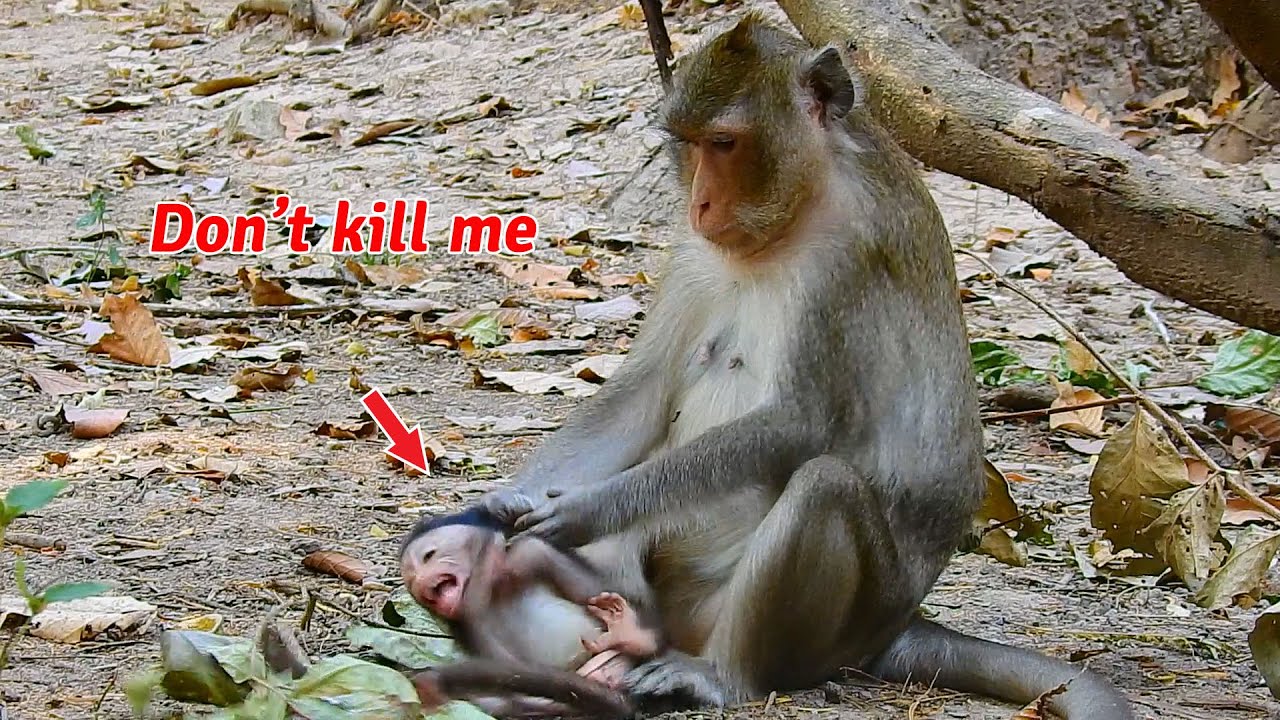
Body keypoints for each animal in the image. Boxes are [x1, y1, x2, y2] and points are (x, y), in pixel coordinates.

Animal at [397, 506, 663, 718]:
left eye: (428, 555)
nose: (420, 582)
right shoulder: (462, 622)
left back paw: (631, 636)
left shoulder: (532, 552)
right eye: (411, 580)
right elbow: (502, 663)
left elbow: (599, 590)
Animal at [474, 12, 1135, 720]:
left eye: (725, 143)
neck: (798, 209)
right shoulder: (693, 253)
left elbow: (801, 422)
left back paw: (721, 675)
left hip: (840, 622)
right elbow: (641, 395)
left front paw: (590, 508)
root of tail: (896, 628)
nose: (699, 203)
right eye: (689, 145)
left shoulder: (849, 259)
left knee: (823, 486)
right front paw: (508, 499)